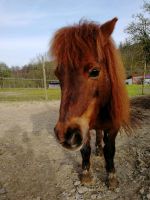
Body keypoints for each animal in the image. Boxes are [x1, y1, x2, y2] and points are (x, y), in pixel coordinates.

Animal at [50, 18, 130, 190]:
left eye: (94, 71)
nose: (64, 134)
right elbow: (85, 149)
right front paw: (86, 175)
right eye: (58, 74)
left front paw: (112, 177)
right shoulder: (84, 126)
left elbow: (110, 150)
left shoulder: (114, 125)